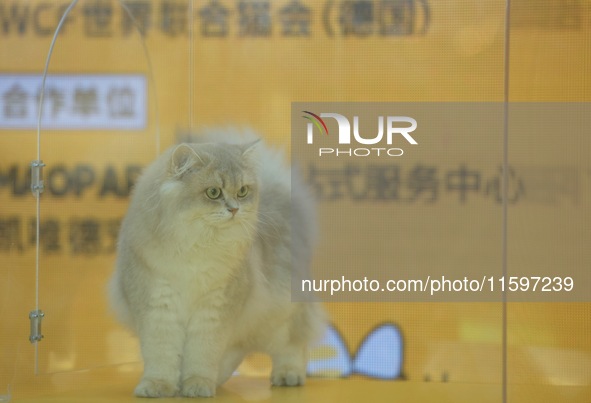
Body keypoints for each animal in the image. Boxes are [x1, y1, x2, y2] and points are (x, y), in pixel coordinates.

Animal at [108, 131, 326, 400]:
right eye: (213, 192)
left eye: (242, 191)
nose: (234, 209)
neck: (196, 247)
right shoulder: (157, 306)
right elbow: (161, 355)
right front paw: (158, 386)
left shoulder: (214, 309)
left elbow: (202, 354)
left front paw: (197, 385)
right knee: (237, 351)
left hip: (281, 315)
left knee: (292, 346)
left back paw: (287, 376)